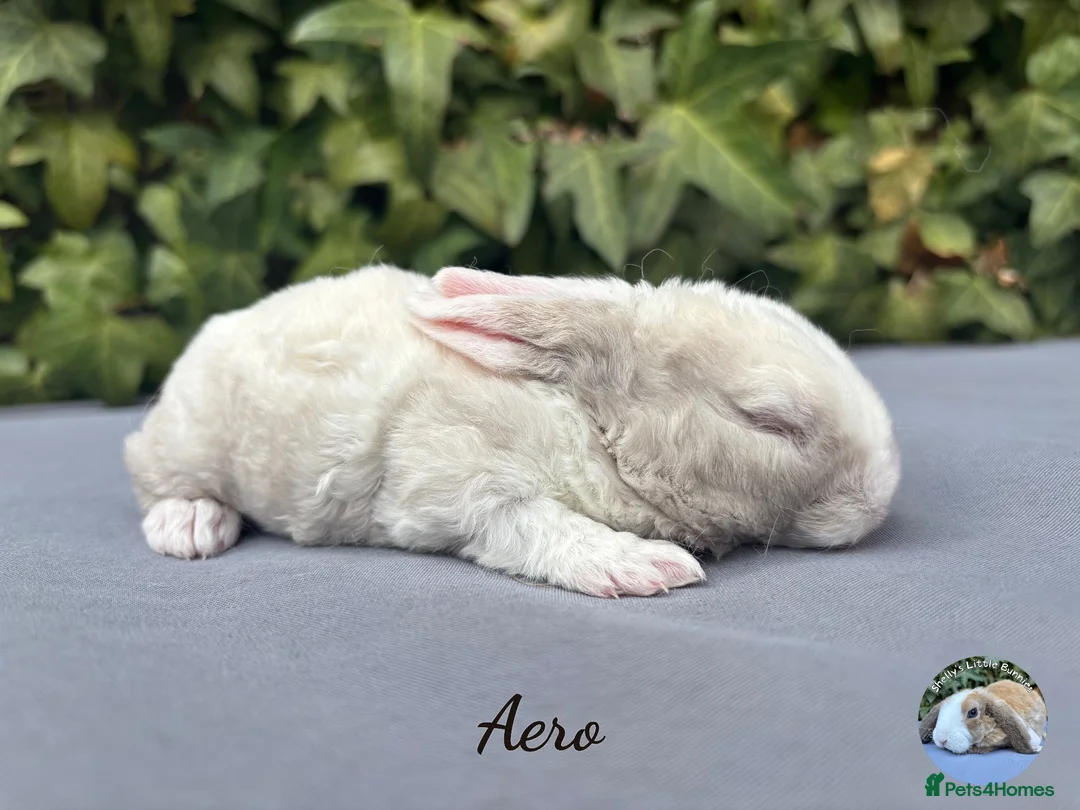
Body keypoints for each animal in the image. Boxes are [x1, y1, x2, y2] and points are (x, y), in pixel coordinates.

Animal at [123, 263, 901, 598]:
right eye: (768, 421)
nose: (881, 495)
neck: (590, 424)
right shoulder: (455, 484)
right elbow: (533, 524)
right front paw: (642, 567)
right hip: (187, 440)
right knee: (152, 476)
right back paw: (189, 525)